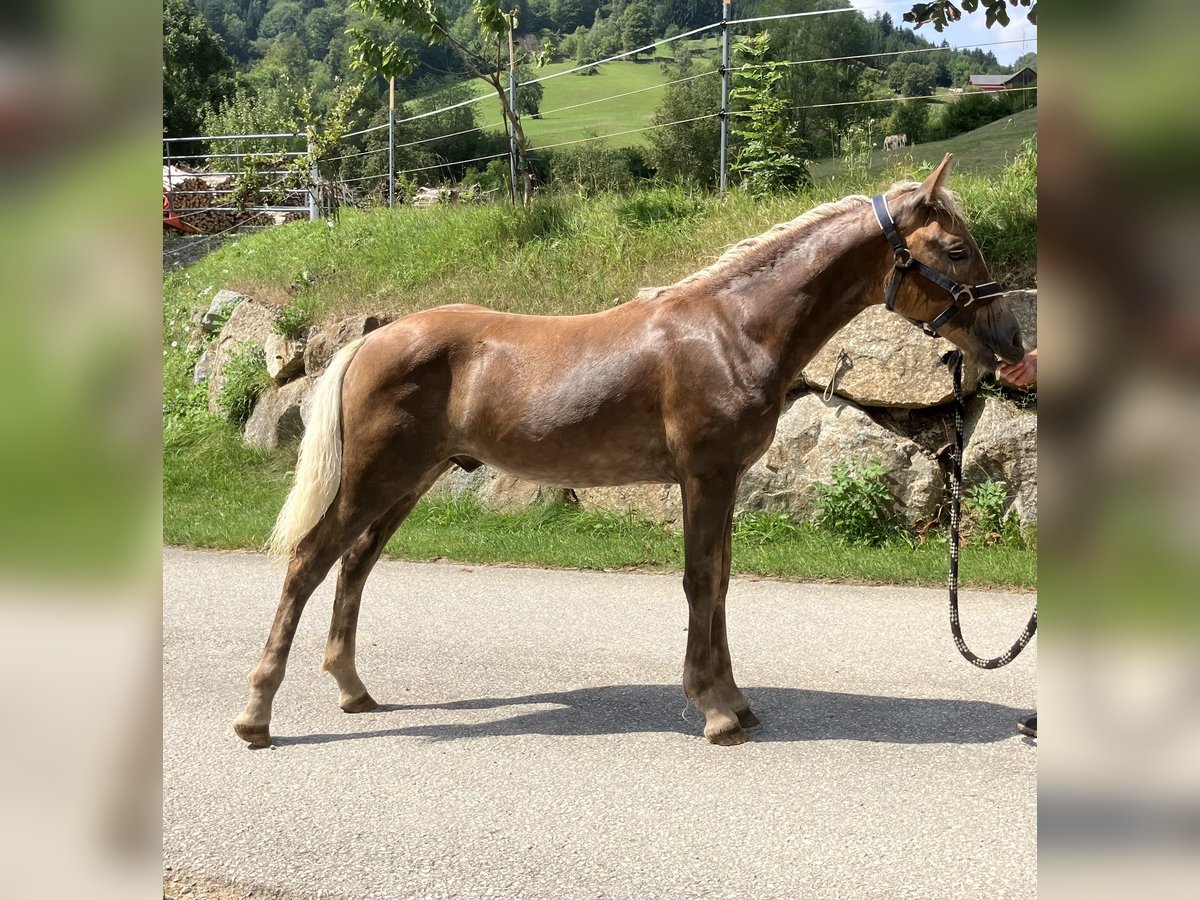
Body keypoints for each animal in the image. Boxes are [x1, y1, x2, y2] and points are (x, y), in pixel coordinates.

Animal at [234, 154, 1022, 748]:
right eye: (956, 250)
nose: (1011, 344)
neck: (733, 328)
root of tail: (372, 338)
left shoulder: (721, 481)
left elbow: (722, 582)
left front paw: (736, 700)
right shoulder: (705, 475)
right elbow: (702, 582)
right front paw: (716, 711)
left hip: (408, 482)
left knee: (354, 568)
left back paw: (353, 691)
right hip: (374, 478)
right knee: (309, 564)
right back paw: (256, 716)